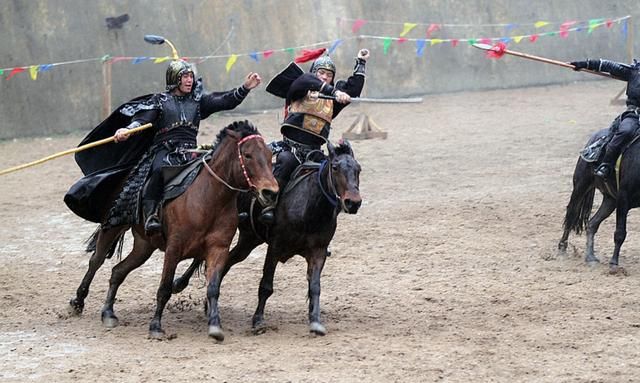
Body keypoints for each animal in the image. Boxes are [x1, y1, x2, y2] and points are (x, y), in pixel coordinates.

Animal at [69, 121, 278, 340]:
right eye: (247, 155)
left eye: (269, 155)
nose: (270, 193)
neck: (210, 199)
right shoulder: (174, 249)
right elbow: (164, 289)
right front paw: (155, 326)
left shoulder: (218, 249)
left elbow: (213, 288)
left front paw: (215, 326)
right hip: (113, 225)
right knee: (96, 261)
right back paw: (78, 302)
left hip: (144, 246)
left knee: (118, 271)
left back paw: (108, 312)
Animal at [172, 141, 362, 336]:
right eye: (335, 167)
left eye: (358, 169)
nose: (353, 202)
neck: (309, 208)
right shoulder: (275, 248)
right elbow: (266, 286)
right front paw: (258, 320)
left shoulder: (318, 252)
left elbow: (315, 287)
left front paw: (316, 321)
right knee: (202, 258)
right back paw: (179, 283)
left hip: (249, 240)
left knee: (226, 263)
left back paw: (207, 305)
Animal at [556, 127, 640, 272]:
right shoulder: (623, 198)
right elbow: (620, 233)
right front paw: (614, 264)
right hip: (581, 185)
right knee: (571, 215)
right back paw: (562, 248)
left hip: (610, 200)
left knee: (592, 224)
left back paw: (590, 257)